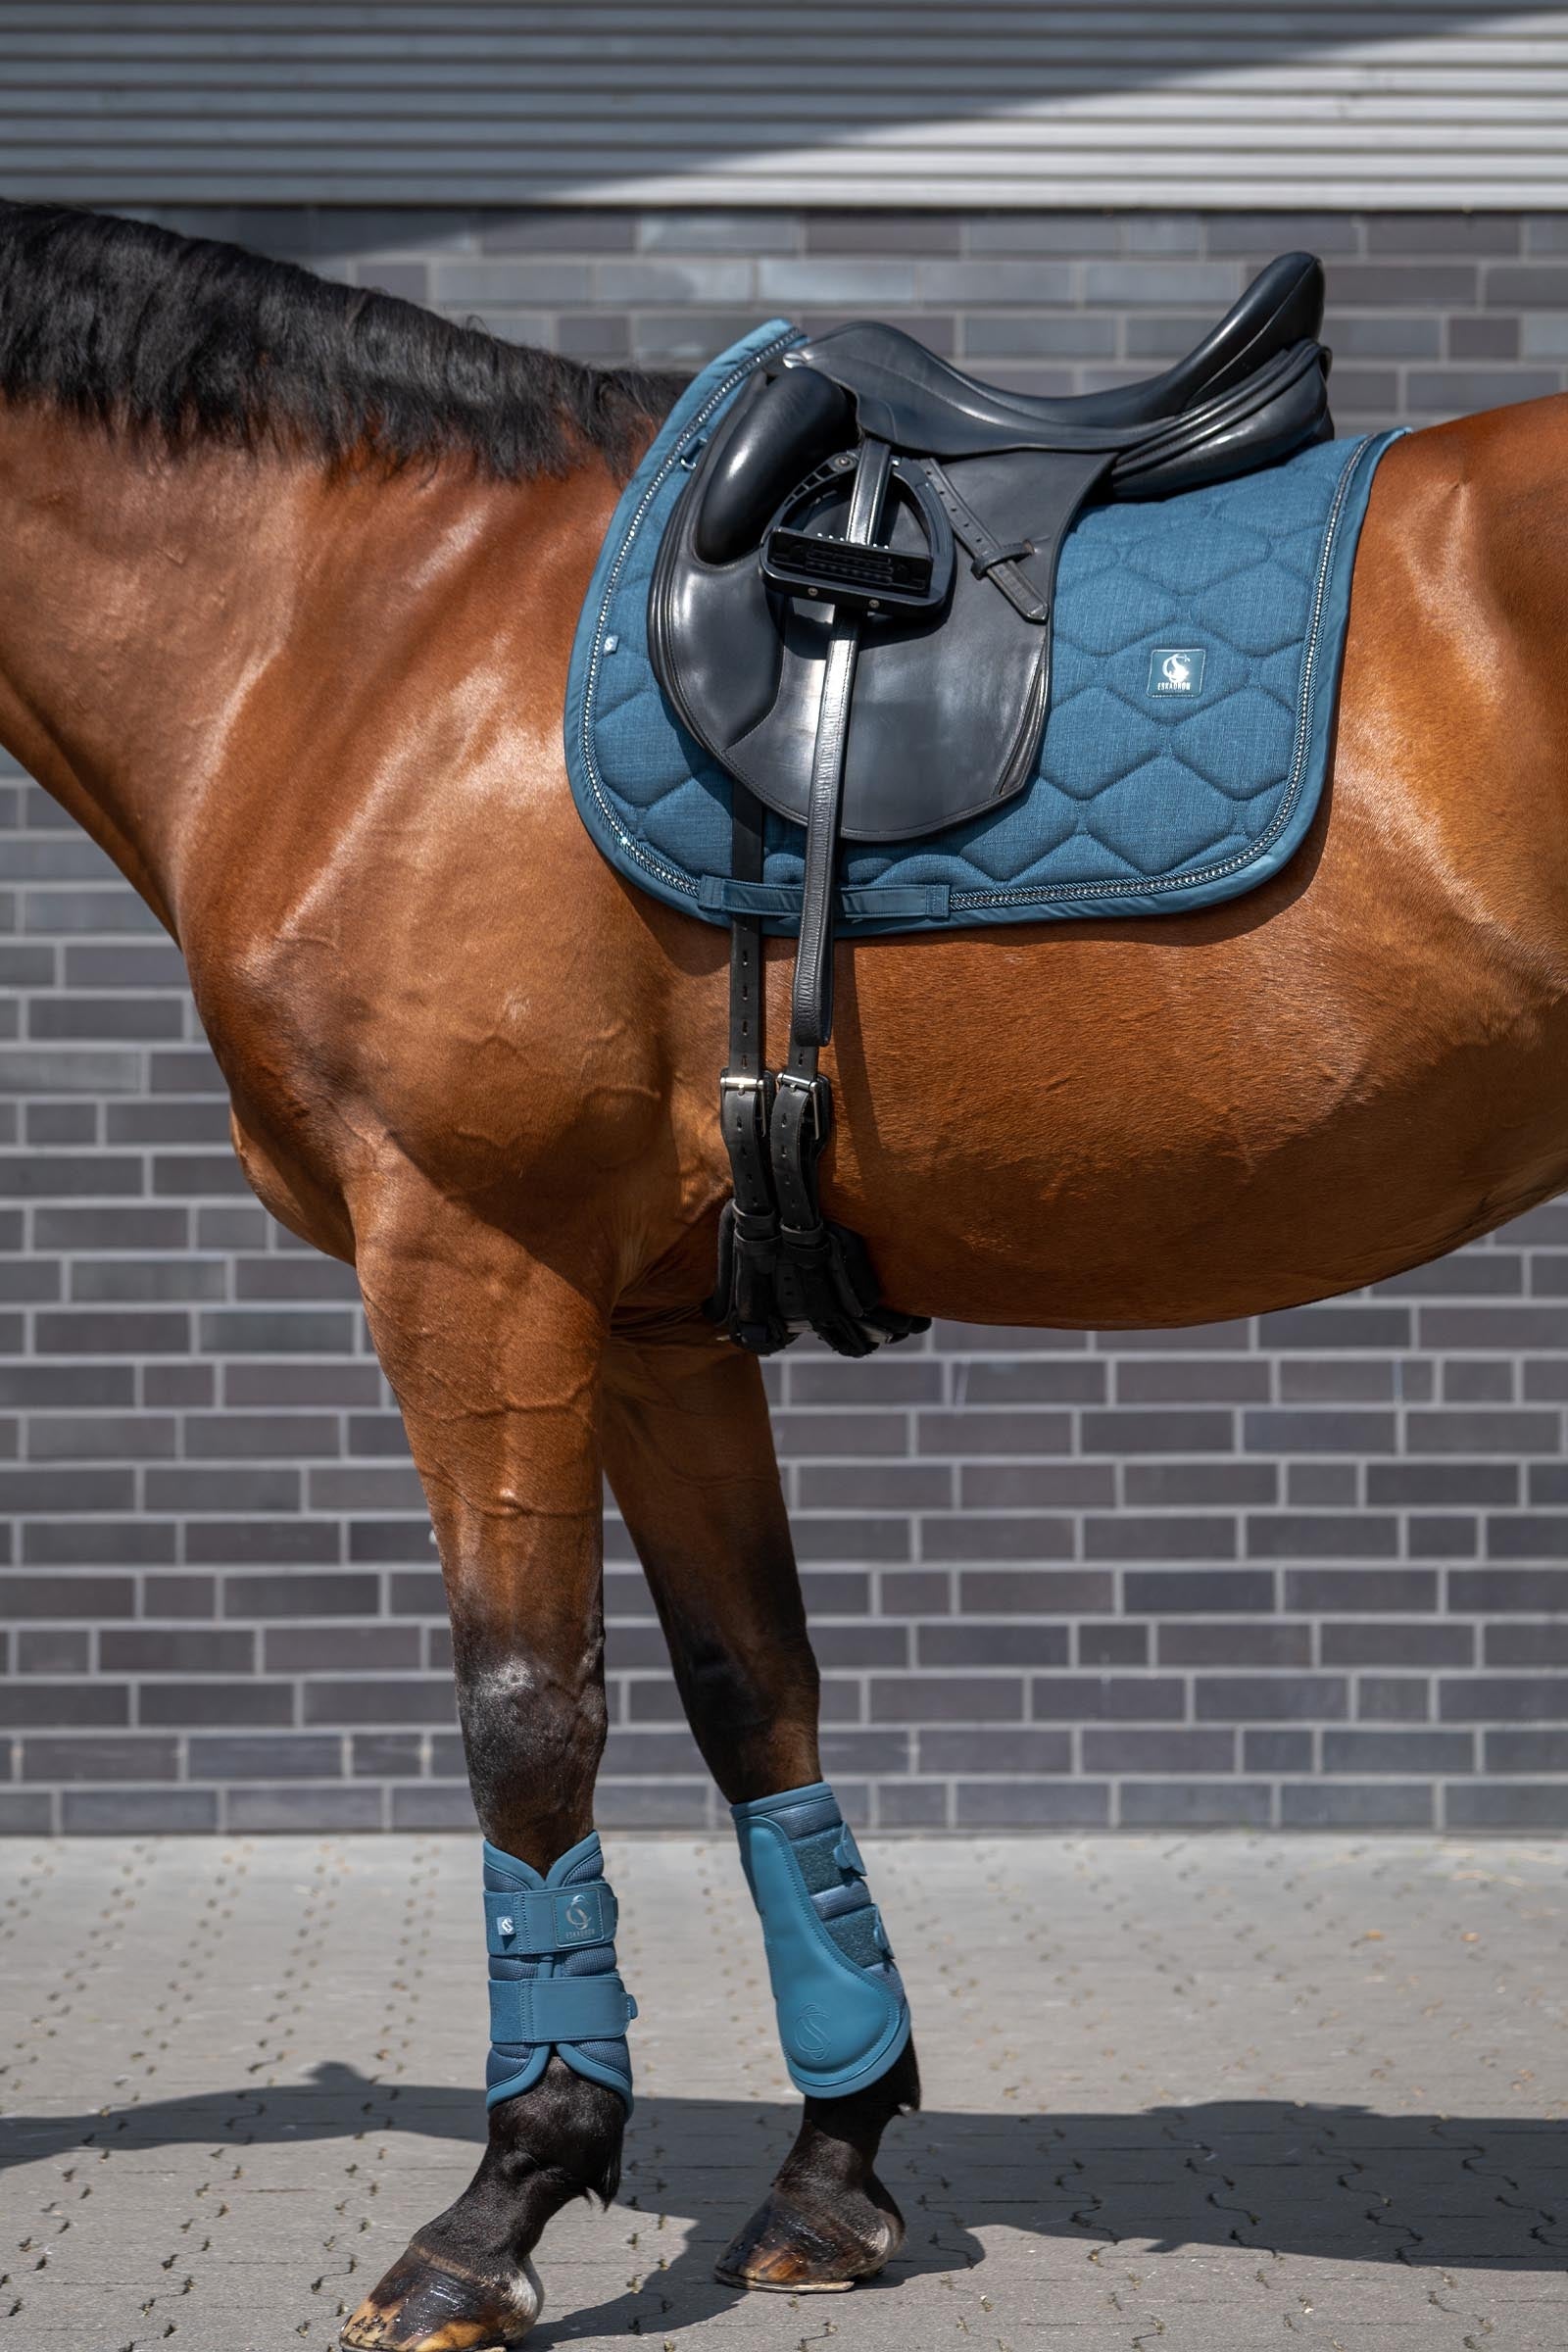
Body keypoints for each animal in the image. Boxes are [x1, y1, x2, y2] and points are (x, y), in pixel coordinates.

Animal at [1, 200, 1565, 2352]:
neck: (351, 631)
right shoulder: (656, 1316)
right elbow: (760, 1697)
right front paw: (835, 2167)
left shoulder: (470, 1261)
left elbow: (528, 1714)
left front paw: (501, 2203)